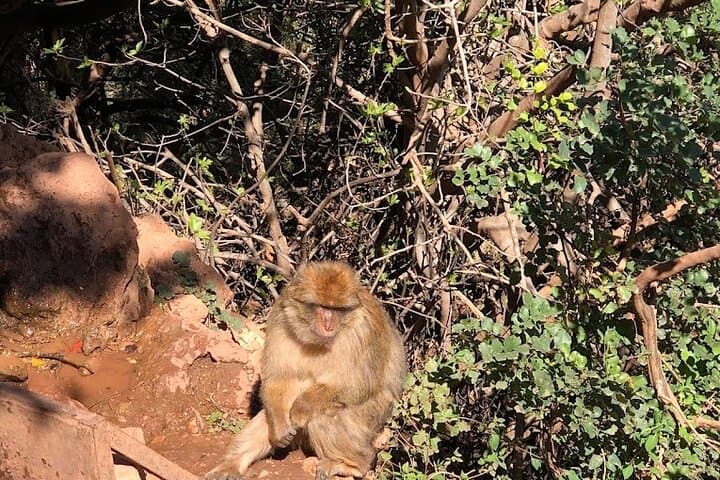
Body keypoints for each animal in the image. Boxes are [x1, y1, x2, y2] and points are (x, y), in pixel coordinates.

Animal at [205, 261, 407, 480]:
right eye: (323, 307)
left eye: (337, 309)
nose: (329, 325)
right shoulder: (281, 317)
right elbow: (279, 378)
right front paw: (281, 428)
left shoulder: (364, 331)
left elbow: (359, 385)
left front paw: (301, 409)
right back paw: (231, 464)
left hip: (370, 418)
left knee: (324, 415)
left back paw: (351, 465)